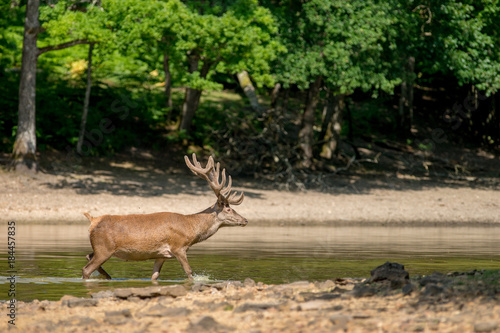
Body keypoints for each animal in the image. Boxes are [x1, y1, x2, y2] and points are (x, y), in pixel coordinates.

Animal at [82, 153, 248, 280]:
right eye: (228, 208)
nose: (245, 220)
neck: (191, 228)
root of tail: (92, 220)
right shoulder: (178, 247)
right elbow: (189, 272)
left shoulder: (161, 255)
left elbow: (154, 276)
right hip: (104, 248)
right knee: (86, 269)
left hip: (100, 248)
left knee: (88, 257)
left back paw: (108, 277)